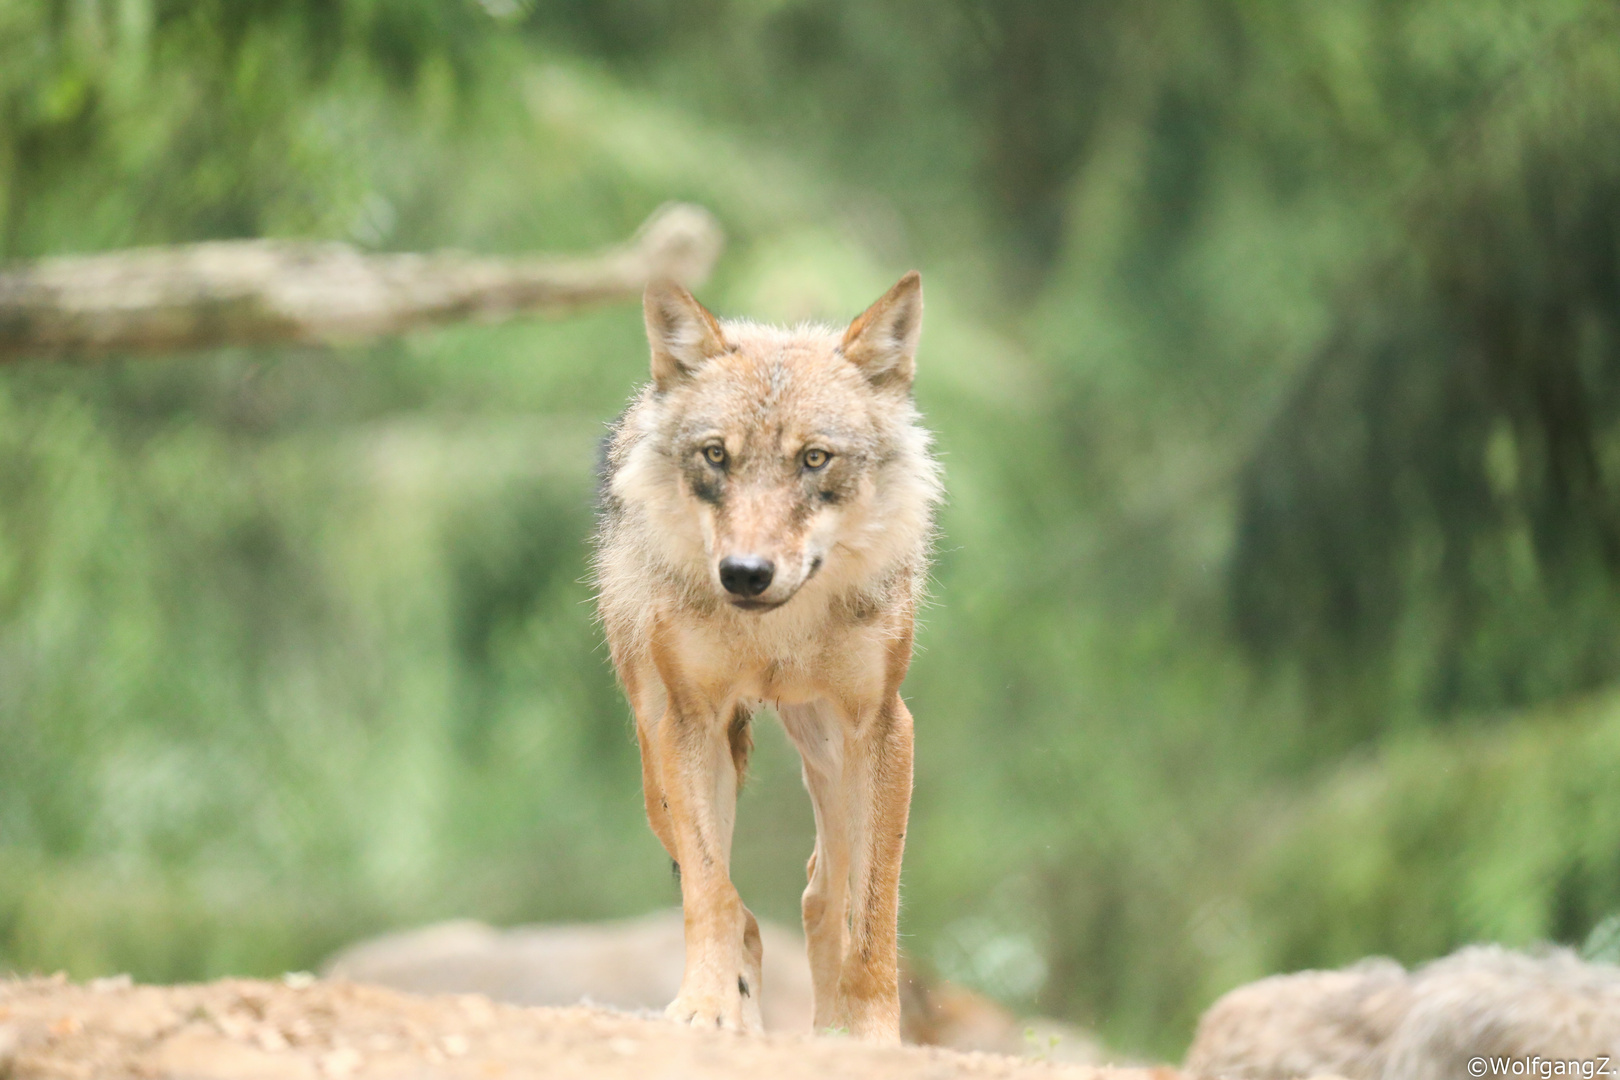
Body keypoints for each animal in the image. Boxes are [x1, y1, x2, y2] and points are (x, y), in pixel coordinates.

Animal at [596, 275, 946, 1042]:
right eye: (715, 456)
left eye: (814, 458)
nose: (745, 574)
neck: (776, 632)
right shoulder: (690, 723)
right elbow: (710, 891)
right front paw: (706, 1005)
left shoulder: (885, 725)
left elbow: (873, 913)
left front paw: (870, 1035)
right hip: (657, 760)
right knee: (747, 910)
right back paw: (746, 1011)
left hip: (831, 750)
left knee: (822, 890)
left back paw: (826, 1026)